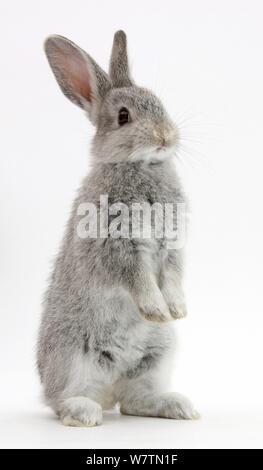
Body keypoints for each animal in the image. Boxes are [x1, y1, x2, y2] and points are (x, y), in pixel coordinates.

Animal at [36, 29, 198, 426]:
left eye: (159, 103)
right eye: (124, 116)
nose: (166, 135)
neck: (140, 166)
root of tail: (107, 391)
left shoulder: (172, 245)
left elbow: (173, 276)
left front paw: (176, 310)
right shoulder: (116, 245)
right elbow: (137, 278)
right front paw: (156, 310)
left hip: (158, 354)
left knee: (134, 400)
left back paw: (178, 406)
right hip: (71, 358)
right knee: (61, 400)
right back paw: (85, 412)